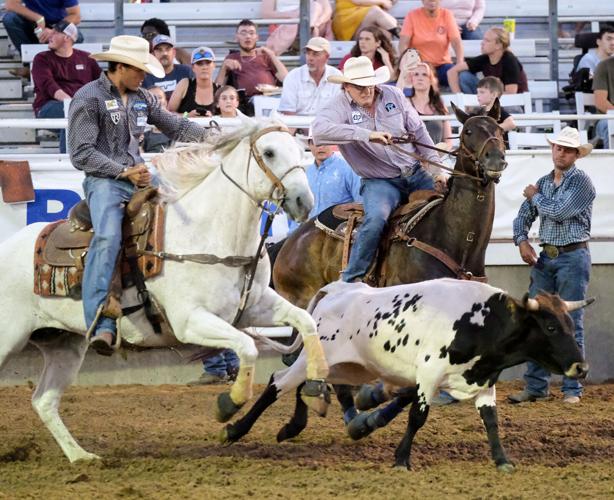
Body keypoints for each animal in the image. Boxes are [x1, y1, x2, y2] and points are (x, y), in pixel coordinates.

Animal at [0, 119, 330, 462]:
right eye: (269, 152)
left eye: (301, 151)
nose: (304, 202)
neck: (209, 233)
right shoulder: (190, 321)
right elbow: (247, 346)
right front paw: (228, 404)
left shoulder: (255, 306)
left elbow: (306, 322)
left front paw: (316, 387)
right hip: (9, 339)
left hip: (64, 344)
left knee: (44, 400)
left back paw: (81, 456)